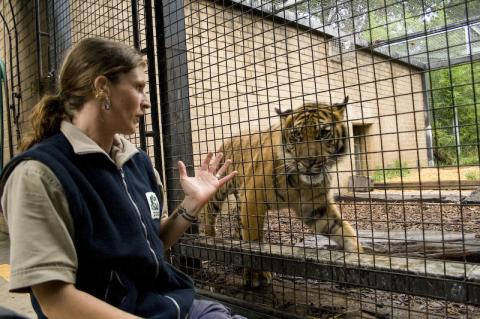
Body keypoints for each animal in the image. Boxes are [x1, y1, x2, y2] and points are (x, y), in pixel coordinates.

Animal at [201, 97, 362, 288]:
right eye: (297, 135)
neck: (300, 182)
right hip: (219, 189)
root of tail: (227, 140)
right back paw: (210, 240)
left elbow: (344, 231)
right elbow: (255, 241)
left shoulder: (315, 208)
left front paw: (361, 258)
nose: (308, 162)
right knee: (209, 213)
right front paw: (256, 275)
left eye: (324, 133)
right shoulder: (253, 199)